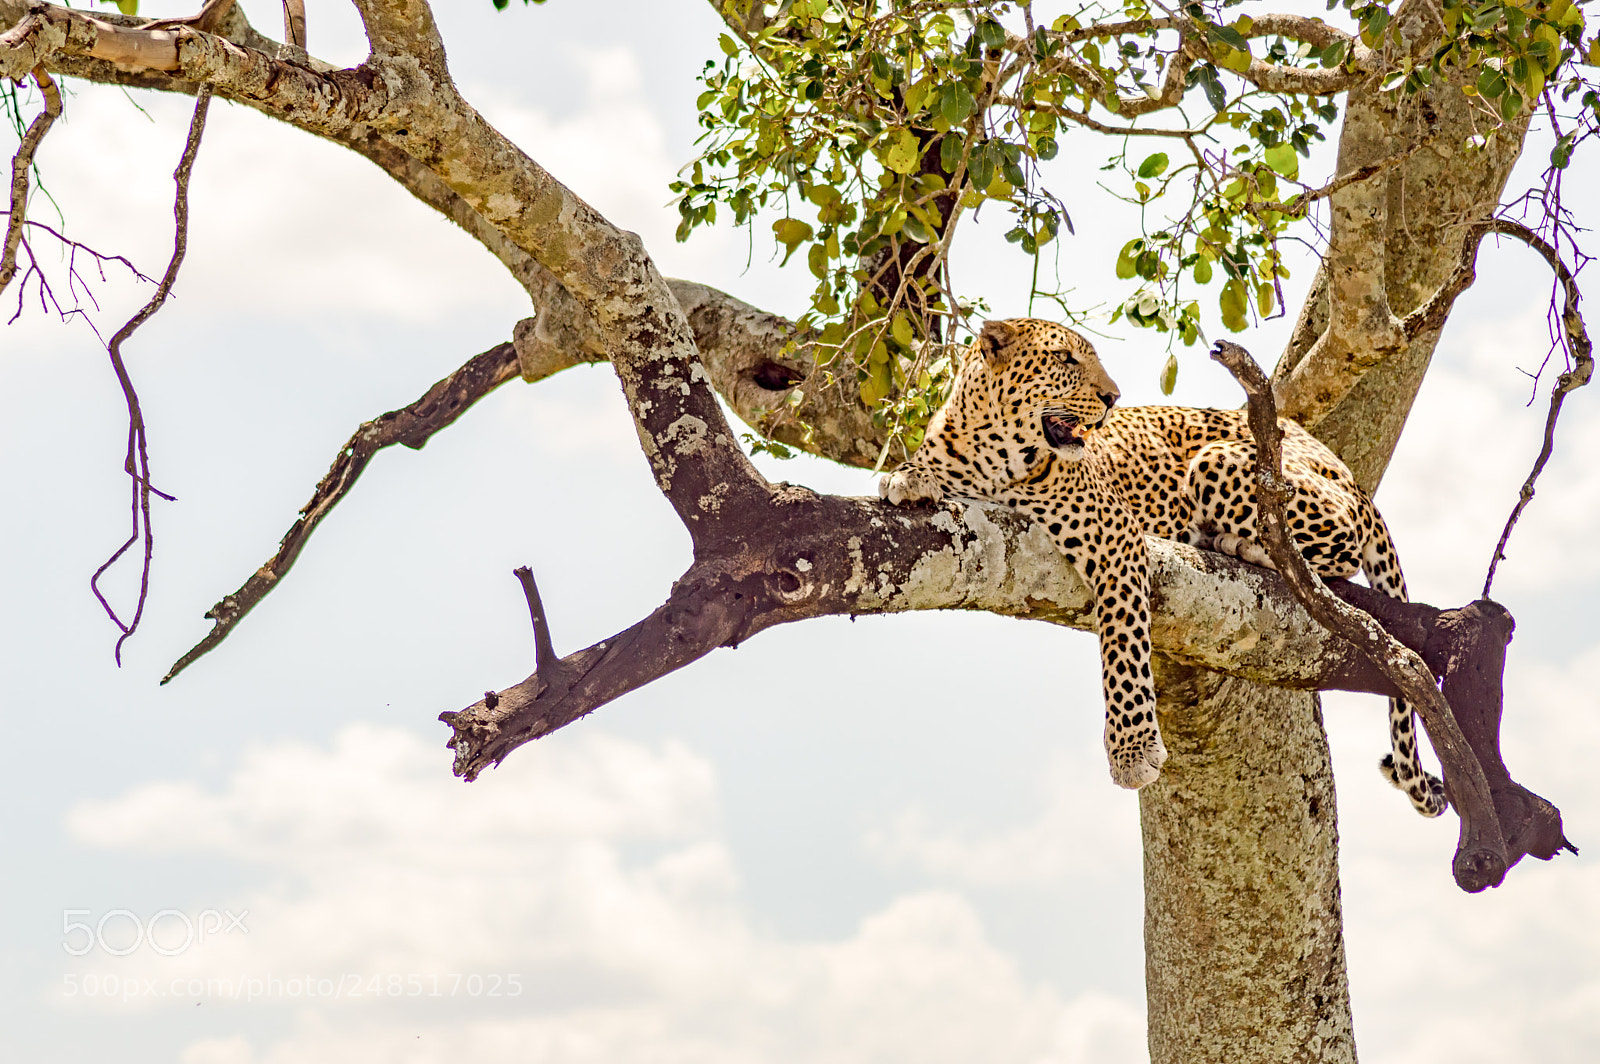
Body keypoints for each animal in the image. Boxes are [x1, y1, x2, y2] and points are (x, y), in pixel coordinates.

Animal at [880, 316, 1447, 817]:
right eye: (1066, 360)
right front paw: (906, 477)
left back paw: (1240, 544)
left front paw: (1132, 753)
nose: (1112, 397)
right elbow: (923, 467)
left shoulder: (1116, 536)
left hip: (1225, 461)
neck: (995, 457)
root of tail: (1348, 473)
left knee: (1334, 548)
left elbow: (1123, 646)